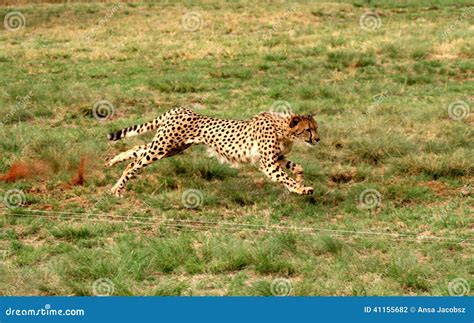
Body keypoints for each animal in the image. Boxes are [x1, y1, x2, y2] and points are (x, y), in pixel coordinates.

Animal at [106, 107, 320, 197]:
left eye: (316, 128)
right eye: (308, 130)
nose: (318, 139)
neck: (283, 128)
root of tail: (179, 109)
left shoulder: (276, 158)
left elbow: (297, 167)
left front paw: (300, 180)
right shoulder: (267, 163)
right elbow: (285, 178)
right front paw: (301, 189)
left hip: (170, 148)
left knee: (137, 151)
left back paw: (112, 162)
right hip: (162, 147)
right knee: (136, 163)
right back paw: (117, 189)